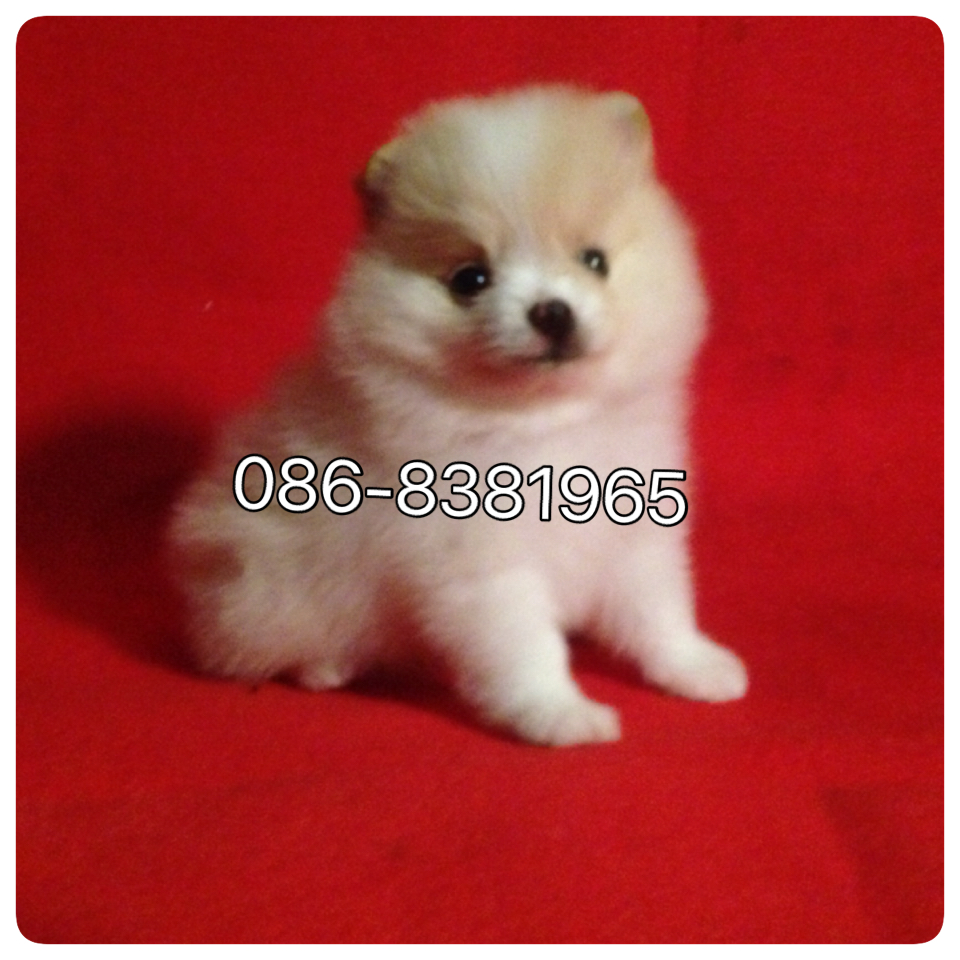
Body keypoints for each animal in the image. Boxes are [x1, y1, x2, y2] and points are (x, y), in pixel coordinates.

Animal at [170, 86, 747, 746]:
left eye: (595, 260)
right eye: (471, 279)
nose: (551, 310)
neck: (549, 423)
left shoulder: (636, 534)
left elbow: (659, 610)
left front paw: (696, 666)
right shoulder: (479, 563)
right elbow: (526, 647)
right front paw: (560, 714)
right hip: (275, 589)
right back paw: (325, 667)